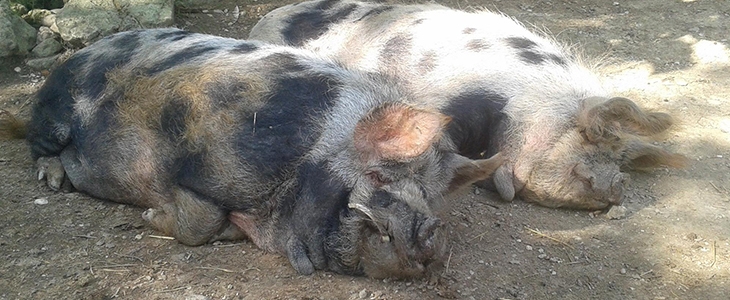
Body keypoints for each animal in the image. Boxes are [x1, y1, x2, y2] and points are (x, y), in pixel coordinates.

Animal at [0, 28, 504, 278]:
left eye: (433, 197)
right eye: (380, 177)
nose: (433, 231)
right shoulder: (197, 167)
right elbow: (199, 221)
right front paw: (150, 217)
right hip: (55, 114)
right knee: (38, 146)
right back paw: (54, 180)